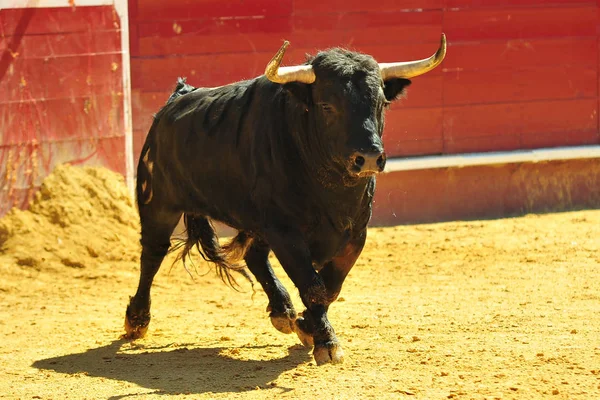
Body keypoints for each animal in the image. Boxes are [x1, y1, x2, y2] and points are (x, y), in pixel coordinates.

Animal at [124, 38, 446, 366]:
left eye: (381, 103)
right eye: (327, 105)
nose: (368, 157)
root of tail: (177, 97)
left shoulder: (356, 234)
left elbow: (330, 287)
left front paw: (307, 325)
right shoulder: (285, 232)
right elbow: (313, 286)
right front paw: (326, 342)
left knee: (254, 256)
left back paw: (283, 311)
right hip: (158, 203)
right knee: (153, 253)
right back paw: (137, 320)